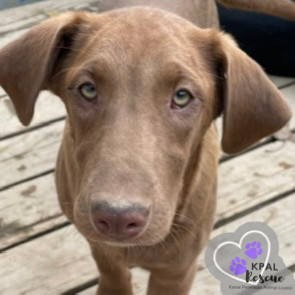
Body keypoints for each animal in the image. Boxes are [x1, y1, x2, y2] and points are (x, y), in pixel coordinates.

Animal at [0, 0, 294, 295]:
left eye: (182, 96)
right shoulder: (104, 251)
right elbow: (113, 274)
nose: (116, 218)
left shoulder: (177, 270)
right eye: (88, 89)